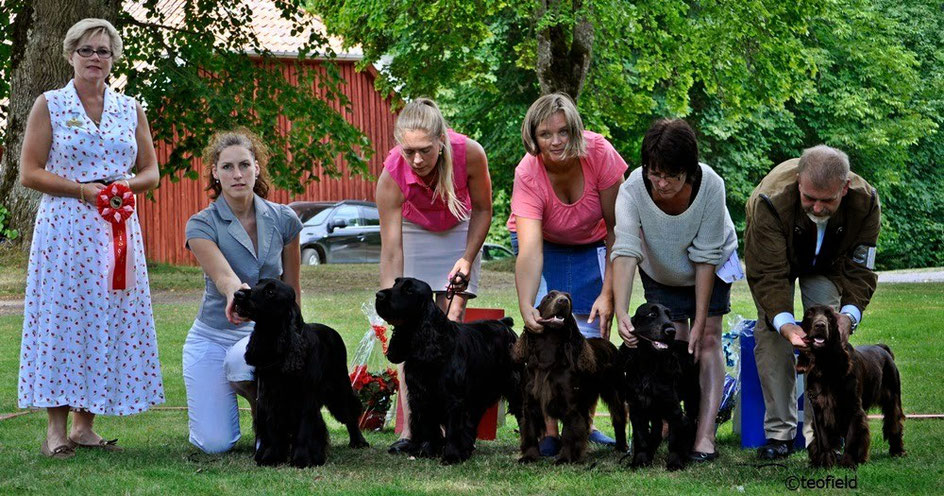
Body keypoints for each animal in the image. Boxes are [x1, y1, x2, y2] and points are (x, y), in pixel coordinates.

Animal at [516, 290, 628, 464]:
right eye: (549, 296)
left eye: (569, 298)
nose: (563, 301)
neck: (548, 353)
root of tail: (608, 344)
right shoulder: (530, 403)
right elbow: (530, 431)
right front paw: (529, 456)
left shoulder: (571, 405)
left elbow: (569, 434)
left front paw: (565, 458)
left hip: (615, 392)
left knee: (619, 418)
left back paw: (621, 447)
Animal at [800, 304, 904, 470]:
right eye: (809, 314)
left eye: (830, 316)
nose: (820, 325)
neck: (826, 364)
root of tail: (882, 348)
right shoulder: (820, 409)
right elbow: (824, 440)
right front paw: (825, 463)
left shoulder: (853, 408)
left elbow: (851, 438)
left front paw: (849, 463)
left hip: (892, 398)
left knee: (894, 424)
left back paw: (898, 451)